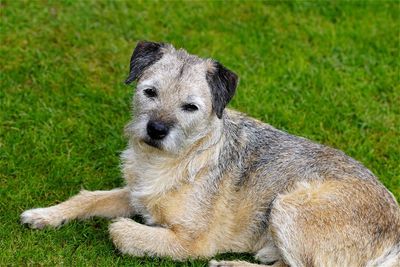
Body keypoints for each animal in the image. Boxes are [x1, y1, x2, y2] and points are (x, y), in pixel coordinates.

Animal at [21, 40, 400, 266]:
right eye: (149, 92)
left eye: (190, 107)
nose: (156, 129)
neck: (174, 160)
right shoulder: (135, 193)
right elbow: (89, 198)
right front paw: (46, 214)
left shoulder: (194, 243)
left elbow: (120, 230)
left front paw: (126, 230)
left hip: (290, 204)